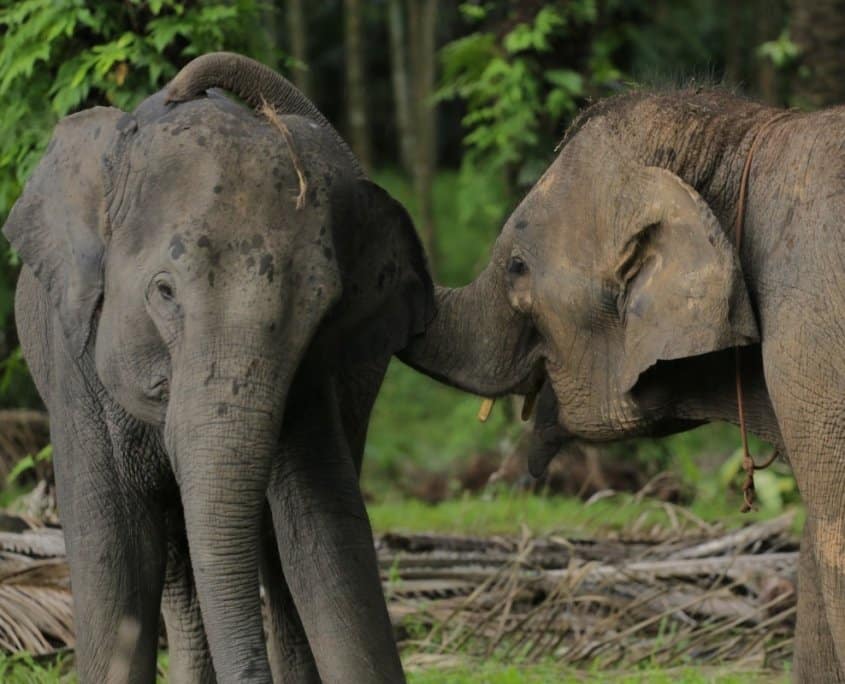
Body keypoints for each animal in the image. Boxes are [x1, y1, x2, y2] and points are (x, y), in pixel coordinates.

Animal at [4, 52, 432, 683]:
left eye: (324, 310)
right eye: (164, 292)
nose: (179, 89)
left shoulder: (313, 379)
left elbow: (325, 536)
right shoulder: (73, 354)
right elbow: (114, 556)